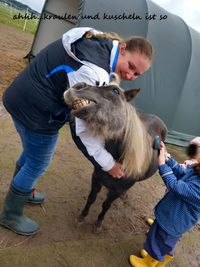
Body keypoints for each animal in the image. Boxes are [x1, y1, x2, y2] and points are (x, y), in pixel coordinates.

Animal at [64, 76, 167, 231]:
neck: (117, 159)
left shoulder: (116, 191)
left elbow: (106, 205)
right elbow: (91, 198)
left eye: (115, 91)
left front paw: (98, 223)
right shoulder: (96, 178)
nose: (78, 86)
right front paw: (82, 216)